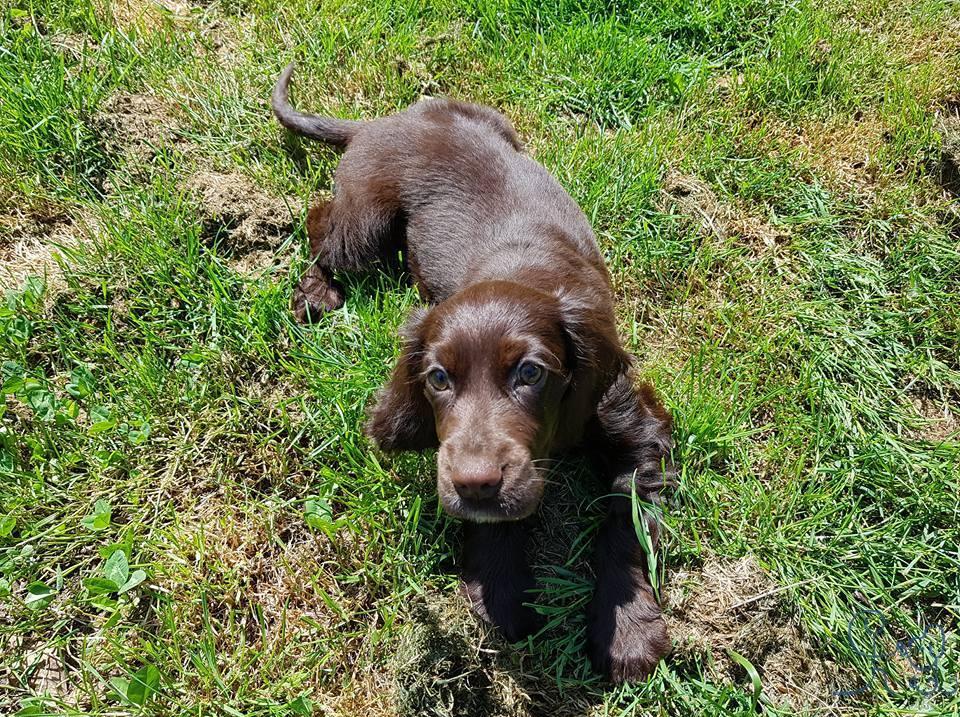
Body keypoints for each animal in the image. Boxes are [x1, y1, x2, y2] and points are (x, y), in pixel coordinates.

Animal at [274, 63, 672, 684]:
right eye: (438, 379)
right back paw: (316, 292)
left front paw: (626, 631)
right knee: (321, 223)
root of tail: (384, 121)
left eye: (531, 373)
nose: (475, 484)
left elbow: (625, 523)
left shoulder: (634, 425)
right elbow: (494, 523)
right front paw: (501, 591)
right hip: (366, 222)